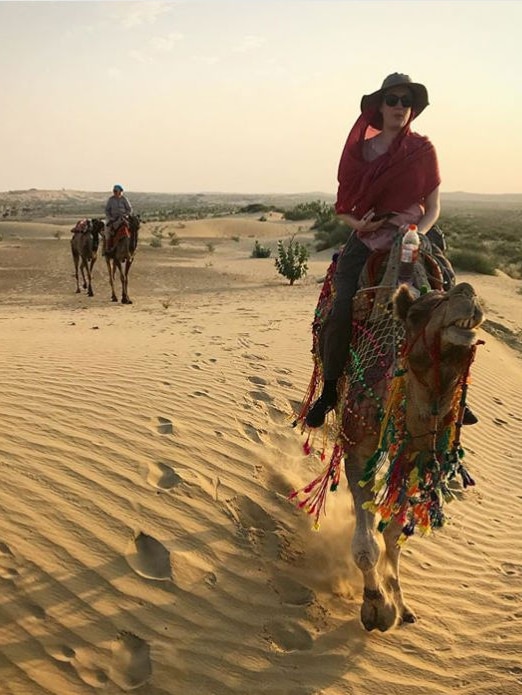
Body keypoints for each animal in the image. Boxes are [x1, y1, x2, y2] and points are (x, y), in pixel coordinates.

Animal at [292, 242, 484, 632]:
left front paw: (401, 603)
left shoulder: (415, 458)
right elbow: (368, 545)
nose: (468, 293)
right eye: (419, 313)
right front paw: (376, 605)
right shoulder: (358, 447)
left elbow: (394, 536)